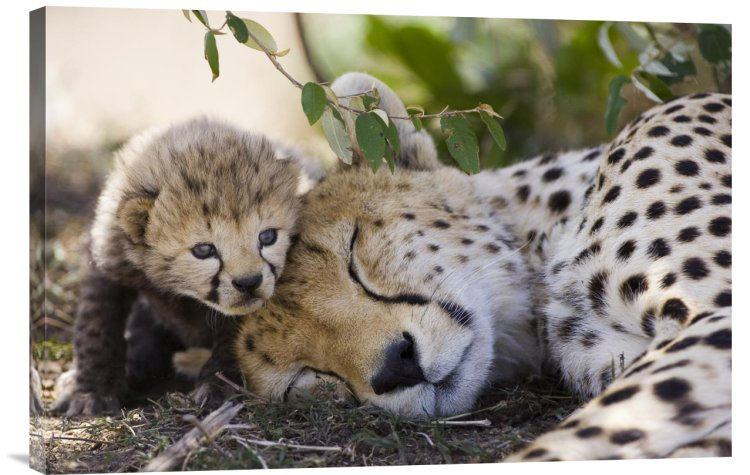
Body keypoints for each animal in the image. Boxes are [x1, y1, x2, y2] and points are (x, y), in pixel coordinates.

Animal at [52, 117, 305, 416]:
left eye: (267, 237)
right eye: (204, 250)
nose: (249, 282)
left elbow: (235, 340)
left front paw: (218, 387)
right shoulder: (109, 260)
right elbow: (95, 327)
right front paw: (91, 390)